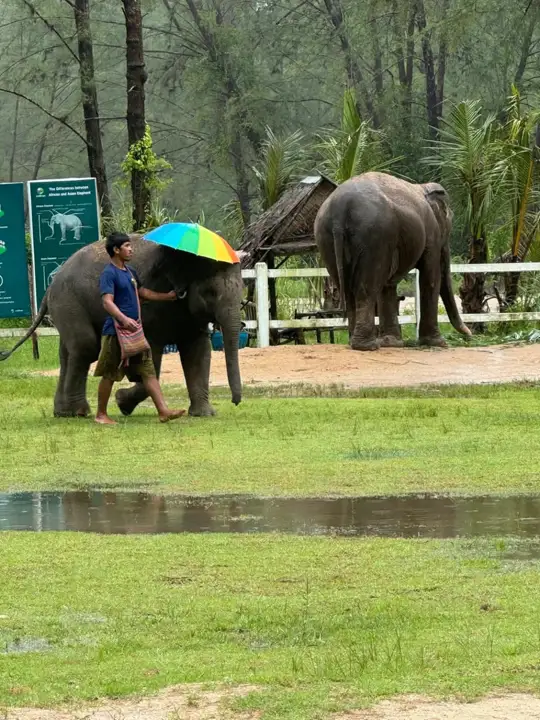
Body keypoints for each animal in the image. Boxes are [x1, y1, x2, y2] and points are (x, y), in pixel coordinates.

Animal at [0, 235, 244, 417]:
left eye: (242, 289)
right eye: (210, 293)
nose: (235, 402)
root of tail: (50, 287)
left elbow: (199, 352)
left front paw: (204, 414)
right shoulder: (150, 306)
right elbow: (151, 358)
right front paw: (122, 401)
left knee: (67, 352)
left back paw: (64, 412)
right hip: (69, 301)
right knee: (85, 347)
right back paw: (78, 413)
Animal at [314, 171, 471, 350]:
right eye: (450, 220)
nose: (469, 334)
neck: (423, 187)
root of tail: (339, 208)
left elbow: (388, 283)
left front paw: (392, 343)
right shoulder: (431, 233)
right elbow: (430, 276)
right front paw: (439, 343)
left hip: (325, 238)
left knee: (348, 288)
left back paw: (354, 342)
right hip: (374, 234)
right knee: (367, 286)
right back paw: (368, 346)